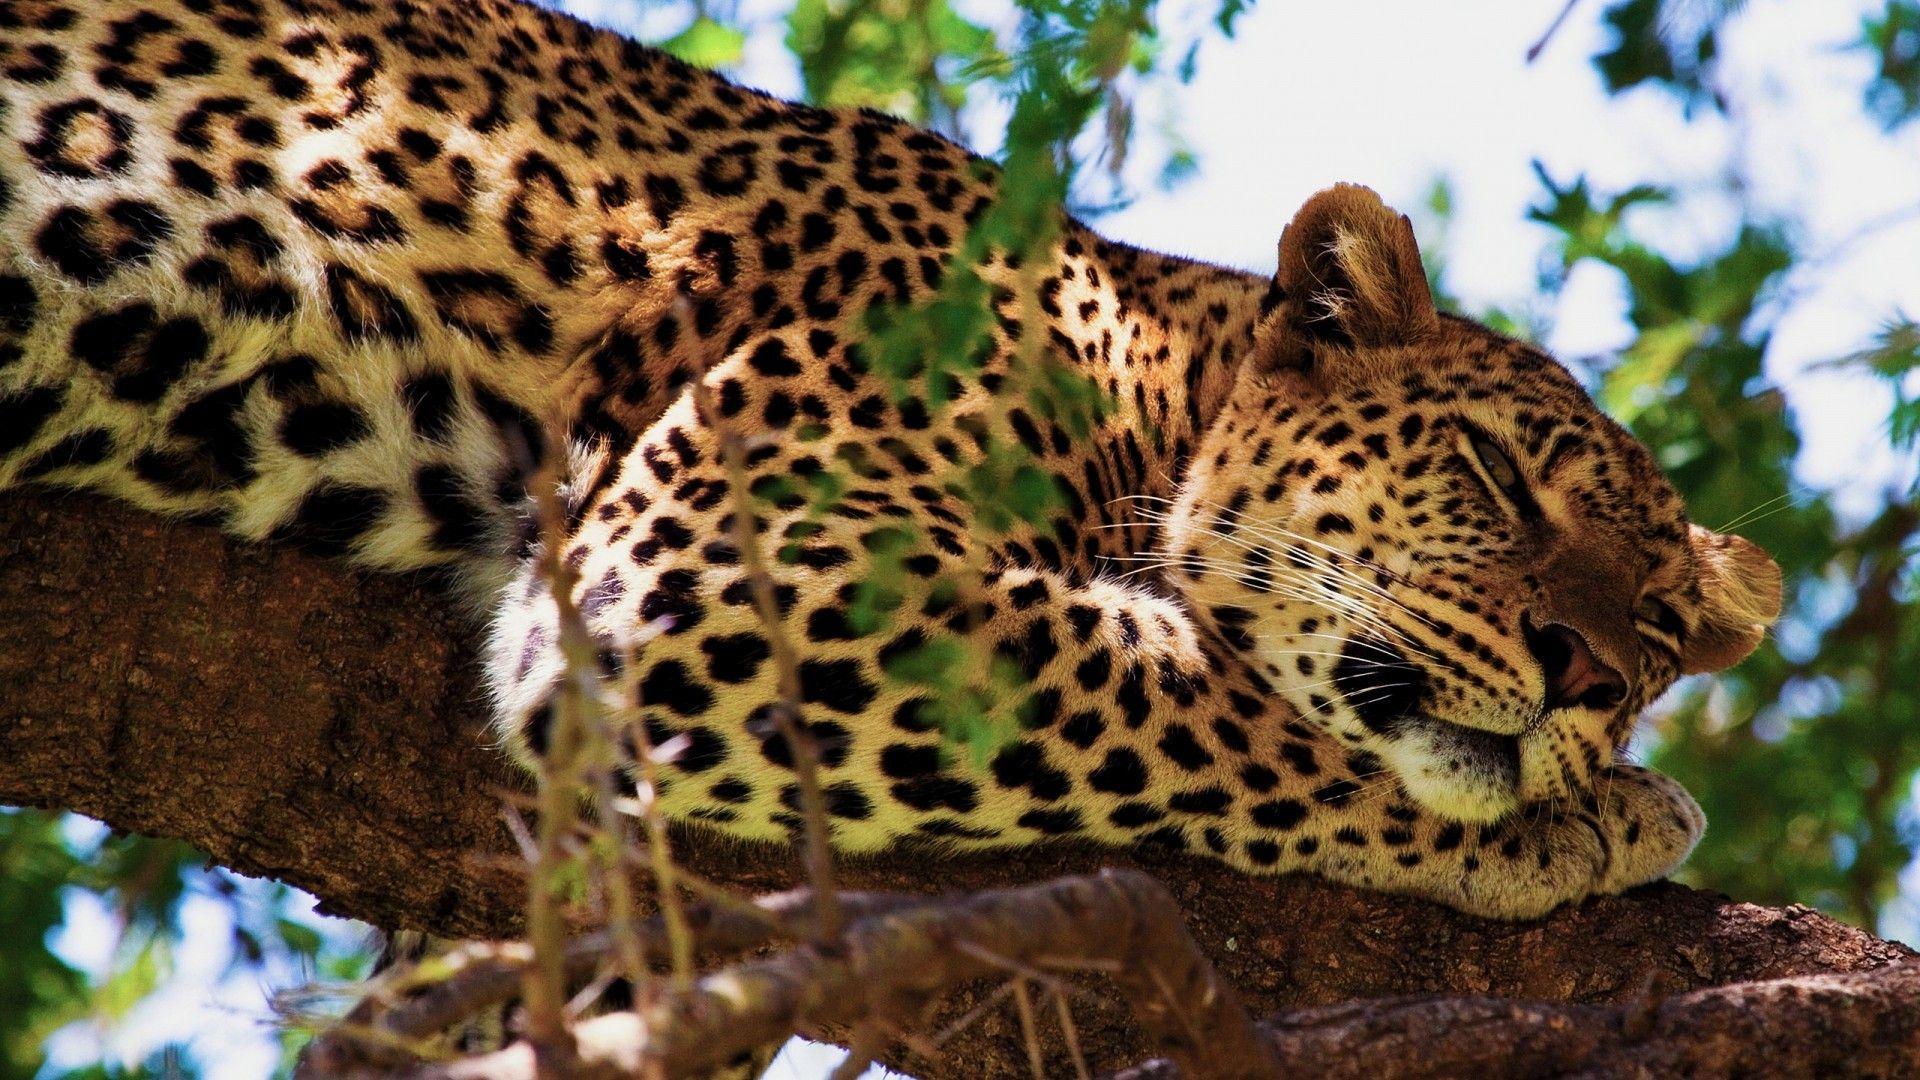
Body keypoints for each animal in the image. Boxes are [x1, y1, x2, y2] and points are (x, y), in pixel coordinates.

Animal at [0, 0, 1783, 927]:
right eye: (1490, 475)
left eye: (1661, 634)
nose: (1586, 679)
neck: (1143, 374)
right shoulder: (728, 556)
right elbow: (1190, 696)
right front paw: (1585, 824)